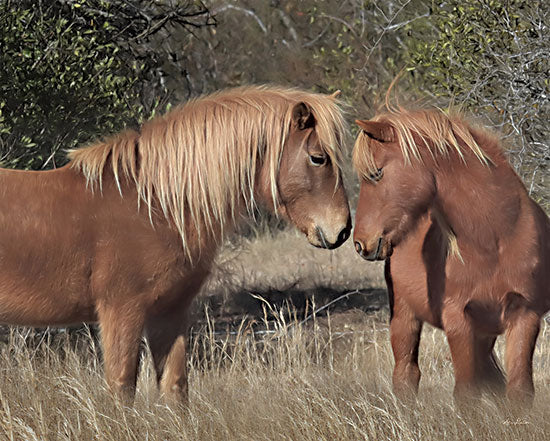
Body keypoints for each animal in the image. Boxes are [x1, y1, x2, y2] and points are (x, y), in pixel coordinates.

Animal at [0, 85, 352, 402]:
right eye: (318, 158)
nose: (343, 230)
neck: (153, 205)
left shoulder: (170, 312)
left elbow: (176, 387)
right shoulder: (121, 311)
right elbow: (122, 388)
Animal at [354, 105, 550, 402]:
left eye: (377, 173)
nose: (360, 243)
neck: (496, 240)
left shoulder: (524, 315)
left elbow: (519, 390)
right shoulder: (458, 319)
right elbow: (467, 393)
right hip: (404, 316)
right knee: (406, 374)